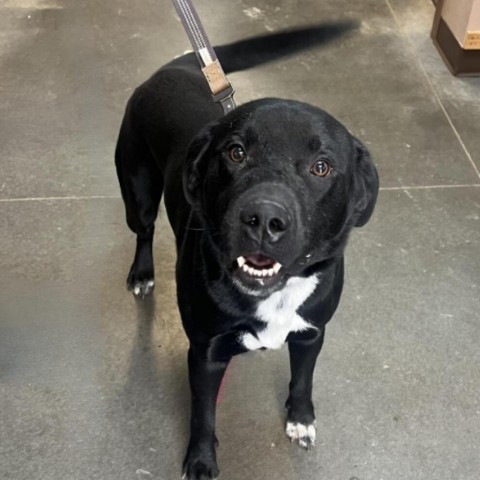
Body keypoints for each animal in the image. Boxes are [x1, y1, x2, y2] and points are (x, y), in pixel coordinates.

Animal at [115, 23, 378, 480]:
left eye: (321, 167)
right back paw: (143, 273)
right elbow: (203, 415)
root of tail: (177, 66)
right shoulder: (205, 354)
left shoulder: (312, 332)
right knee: (143, 230)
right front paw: (201, 461)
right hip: (138, 189)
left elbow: (303, 379)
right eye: (236, 152)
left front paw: (301, 420)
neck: (273, 295)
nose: (263, 218)